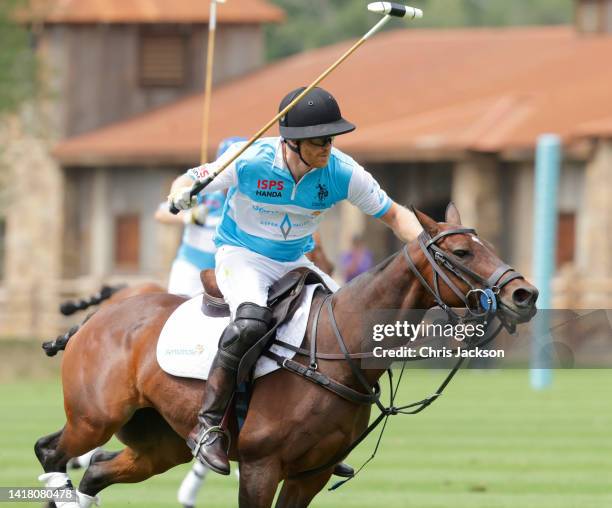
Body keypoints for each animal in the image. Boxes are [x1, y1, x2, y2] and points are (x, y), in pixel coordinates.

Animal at [35, 204, 536, 506]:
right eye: (461, 251)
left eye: (488, 245)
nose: (524, 294)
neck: (335, 349)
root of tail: (95, 320)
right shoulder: (261, 466)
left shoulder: (309, 473)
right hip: (94, 417)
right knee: (51, 452)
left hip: (161, 443)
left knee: (95, 470)